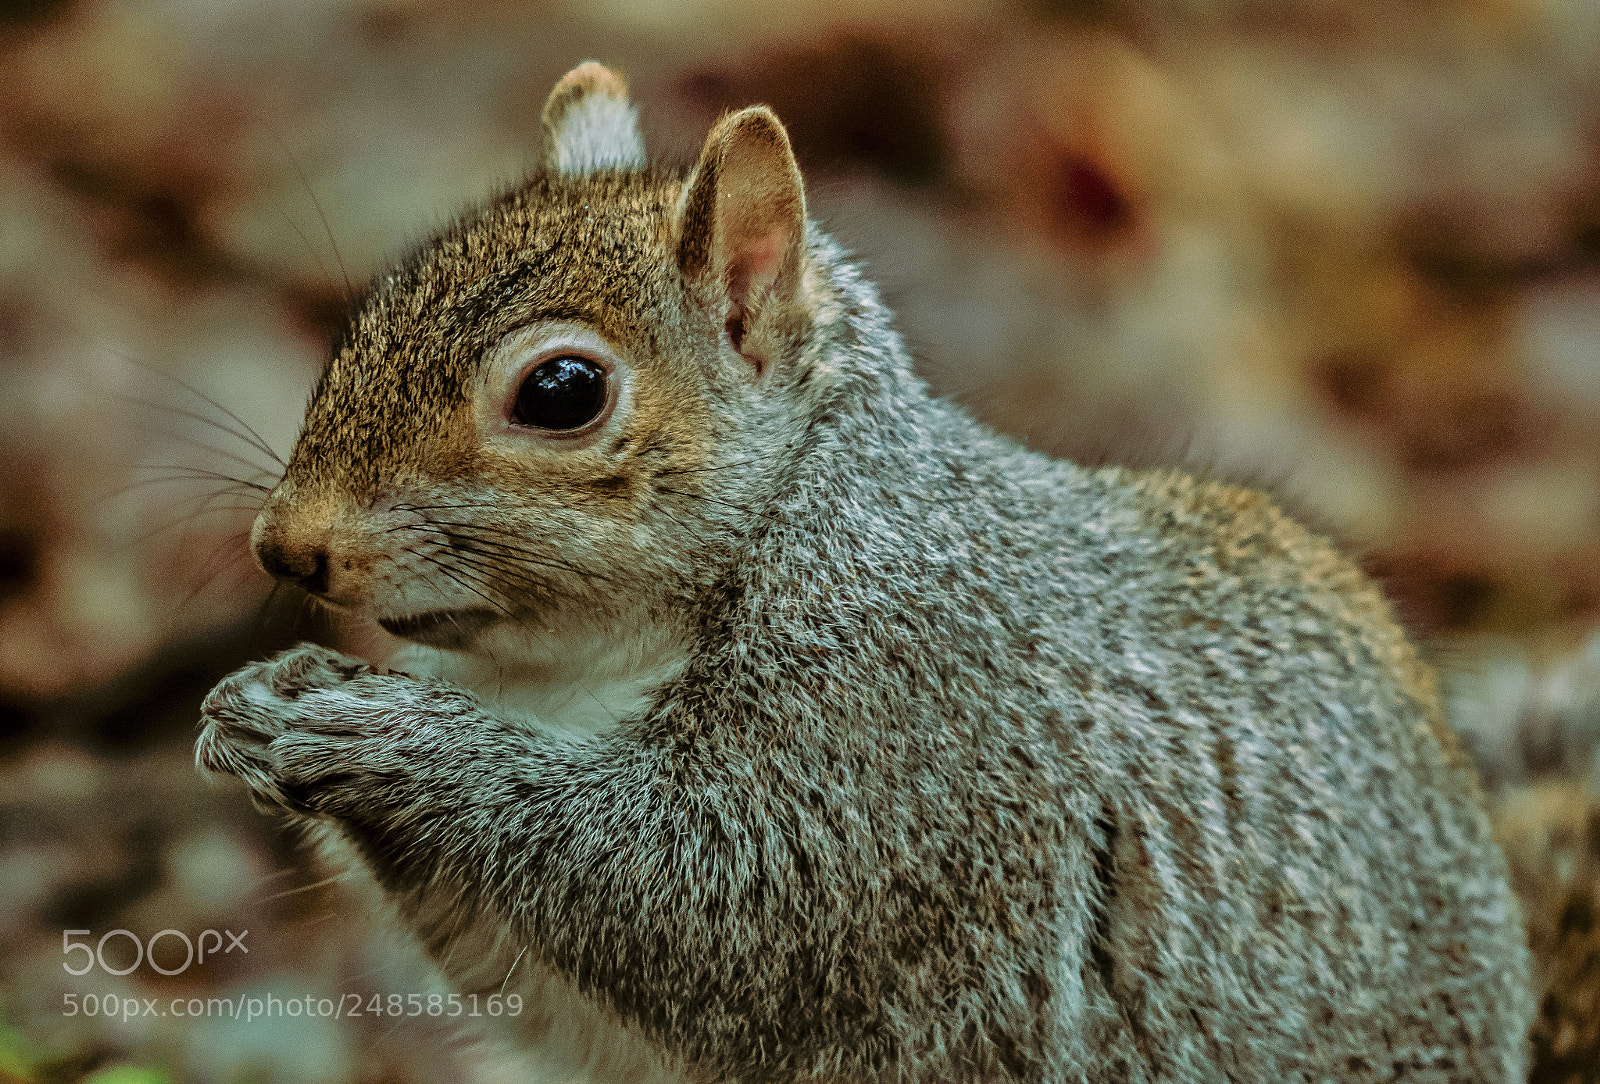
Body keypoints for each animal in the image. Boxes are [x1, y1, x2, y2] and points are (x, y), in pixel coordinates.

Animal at [196, 62, 1535, 1082]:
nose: (287, 543)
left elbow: (706, 898)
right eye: (373, 307)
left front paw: (390, 739)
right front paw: (265, 701)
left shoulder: (903, 723)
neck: (573, 669)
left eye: (562, 391)